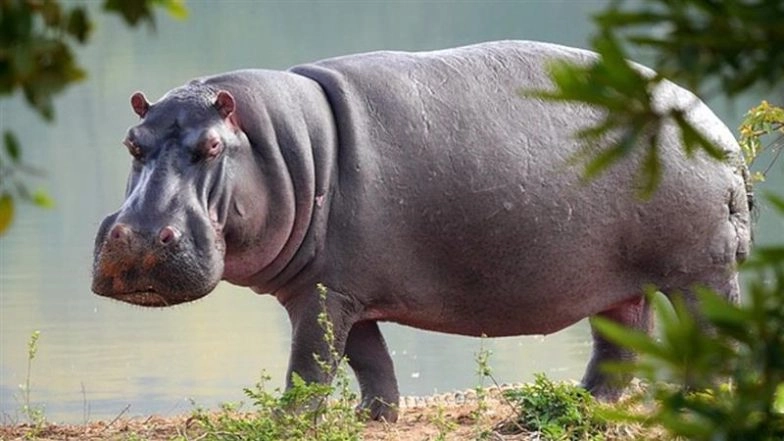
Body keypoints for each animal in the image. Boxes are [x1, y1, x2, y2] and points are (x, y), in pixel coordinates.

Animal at [92, 41, 752, 422]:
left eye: (210, 146)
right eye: (131, 142)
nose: (139, 238)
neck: (280, 147)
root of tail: (719, 131)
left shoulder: (325, 295)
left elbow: (310, 366)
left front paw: (285, 424)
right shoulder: (337, 288)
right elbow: (369, 362)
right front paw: (373, 420)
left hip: (702, 271)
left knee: (712, 336)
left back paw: (700, 401)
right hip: (620, 284)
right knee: (619, 346)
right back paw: (578, 408)